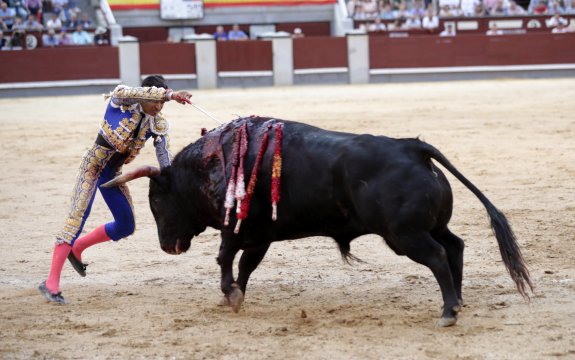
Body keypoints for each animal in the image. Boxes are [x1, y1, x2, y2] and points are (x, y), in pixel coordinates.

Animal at [102, 116, 532, 326]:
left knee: (439, 257)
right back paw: (457, 300)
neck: (211, 164)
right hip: (429, 226)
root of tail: (412, 147)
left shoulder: (238, 229)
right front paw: (235, 296)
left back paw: (447, 312)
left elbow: (225, 258)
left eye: (156, 199)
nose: (167, 246)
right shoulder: (260, 236)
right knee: (455, 246)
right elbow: (246, 266)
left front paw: (229, 294)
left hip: (405, 235)